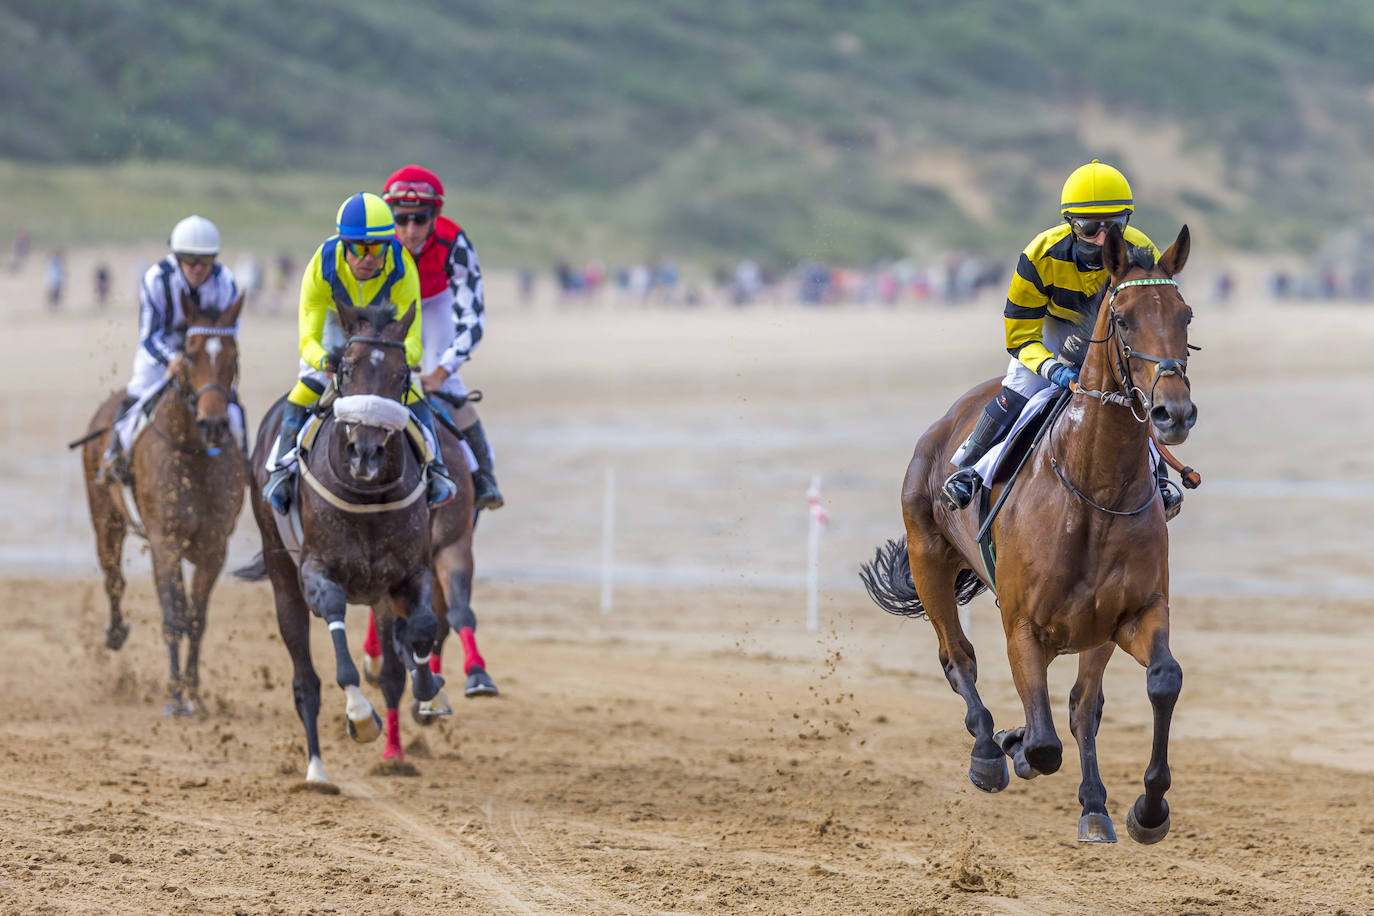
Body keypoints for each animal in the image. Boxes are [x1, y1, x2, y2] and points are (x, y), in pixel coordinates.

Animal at [862, 225, 1198, 840]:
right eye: (1123, 319)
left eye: (1185, 314)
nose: (1173, 413)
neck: (1095, 493)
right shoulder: (1022, 625)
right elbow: (1042, 744)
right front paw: (1012, 745)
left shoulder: (1132, 613)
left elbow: (1157, 681)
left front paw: (1148, 808)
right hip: (928, 558)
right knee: (958, 658)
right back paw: (989, 753)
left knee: (1082, 707)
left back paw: (1093, 805)